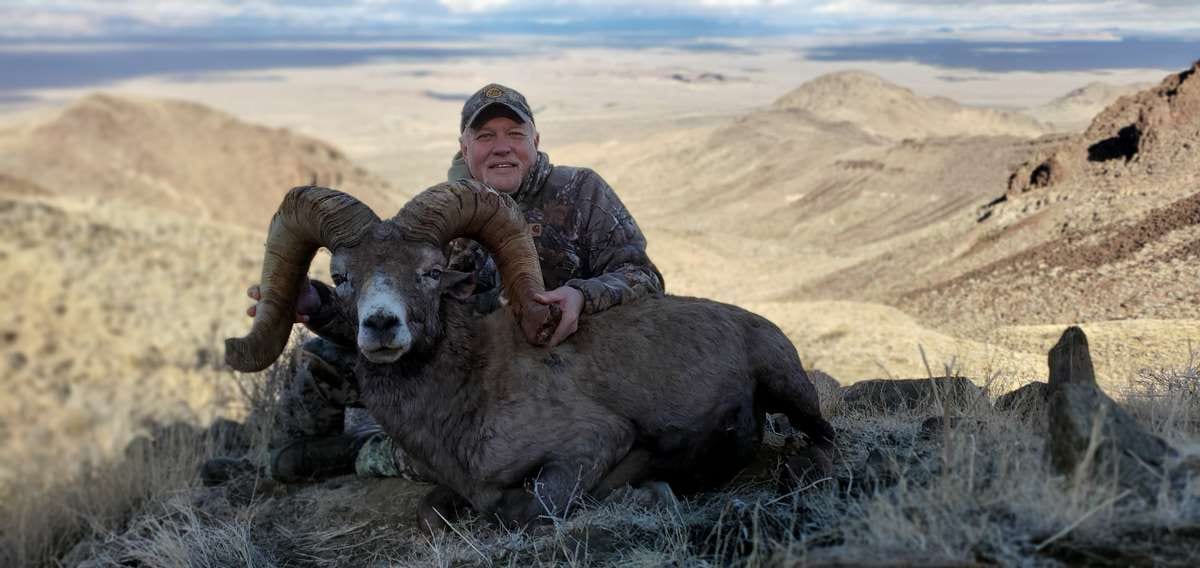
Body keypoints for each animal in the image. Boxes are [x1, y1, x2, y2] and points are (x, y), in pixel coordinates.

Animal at [226, 180, 835, 528]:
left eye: (431, 271)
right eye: (341, 277)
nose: (380, 326)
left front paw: (649, 492)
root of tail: (754, 322)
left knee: (823, 438)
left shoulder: (591, 446)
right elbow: (432, 515)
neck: (467, 395)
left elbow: (523, 508)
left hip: (790, 389)